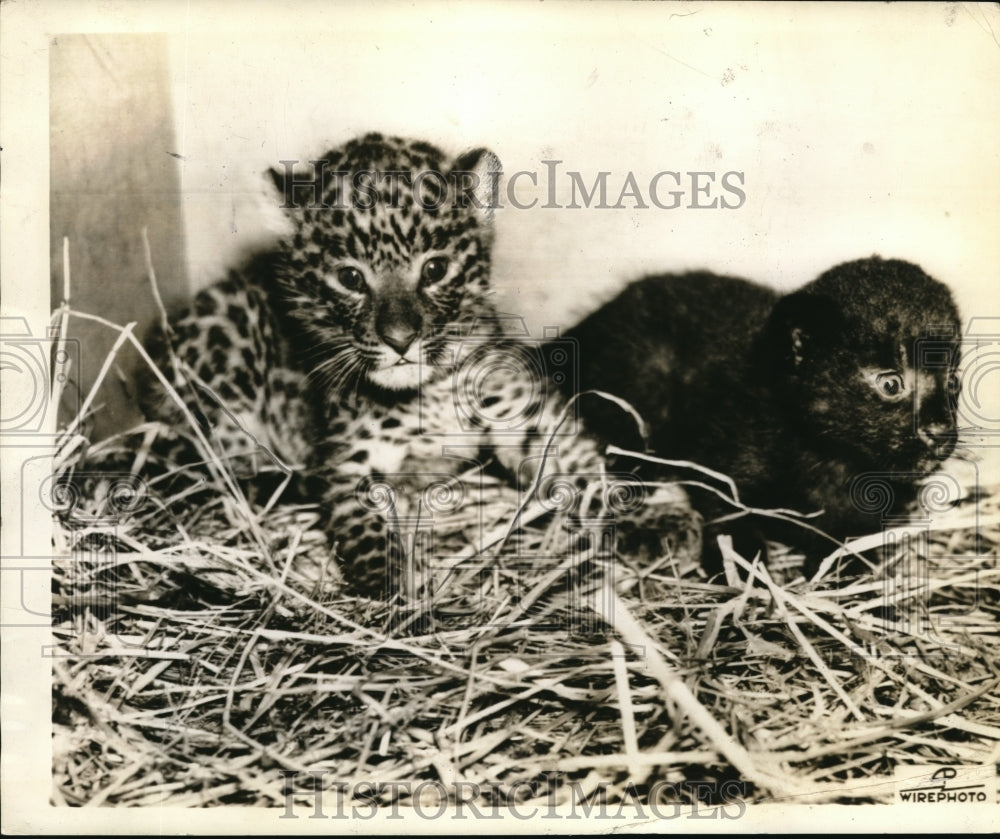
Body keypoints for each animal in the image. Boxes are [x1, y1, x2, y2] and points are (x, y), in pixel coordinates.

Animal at [140, 133, 700, 603]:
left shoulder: (525, 419)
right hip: (222, 365)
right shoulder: (349, 463)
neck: (428, 392)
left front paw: (655, 519)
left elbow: (583, 461)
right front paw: (394, 584)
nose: (400, 339)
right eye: (350, 278)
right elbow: (364, 527)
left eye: (434, 269)